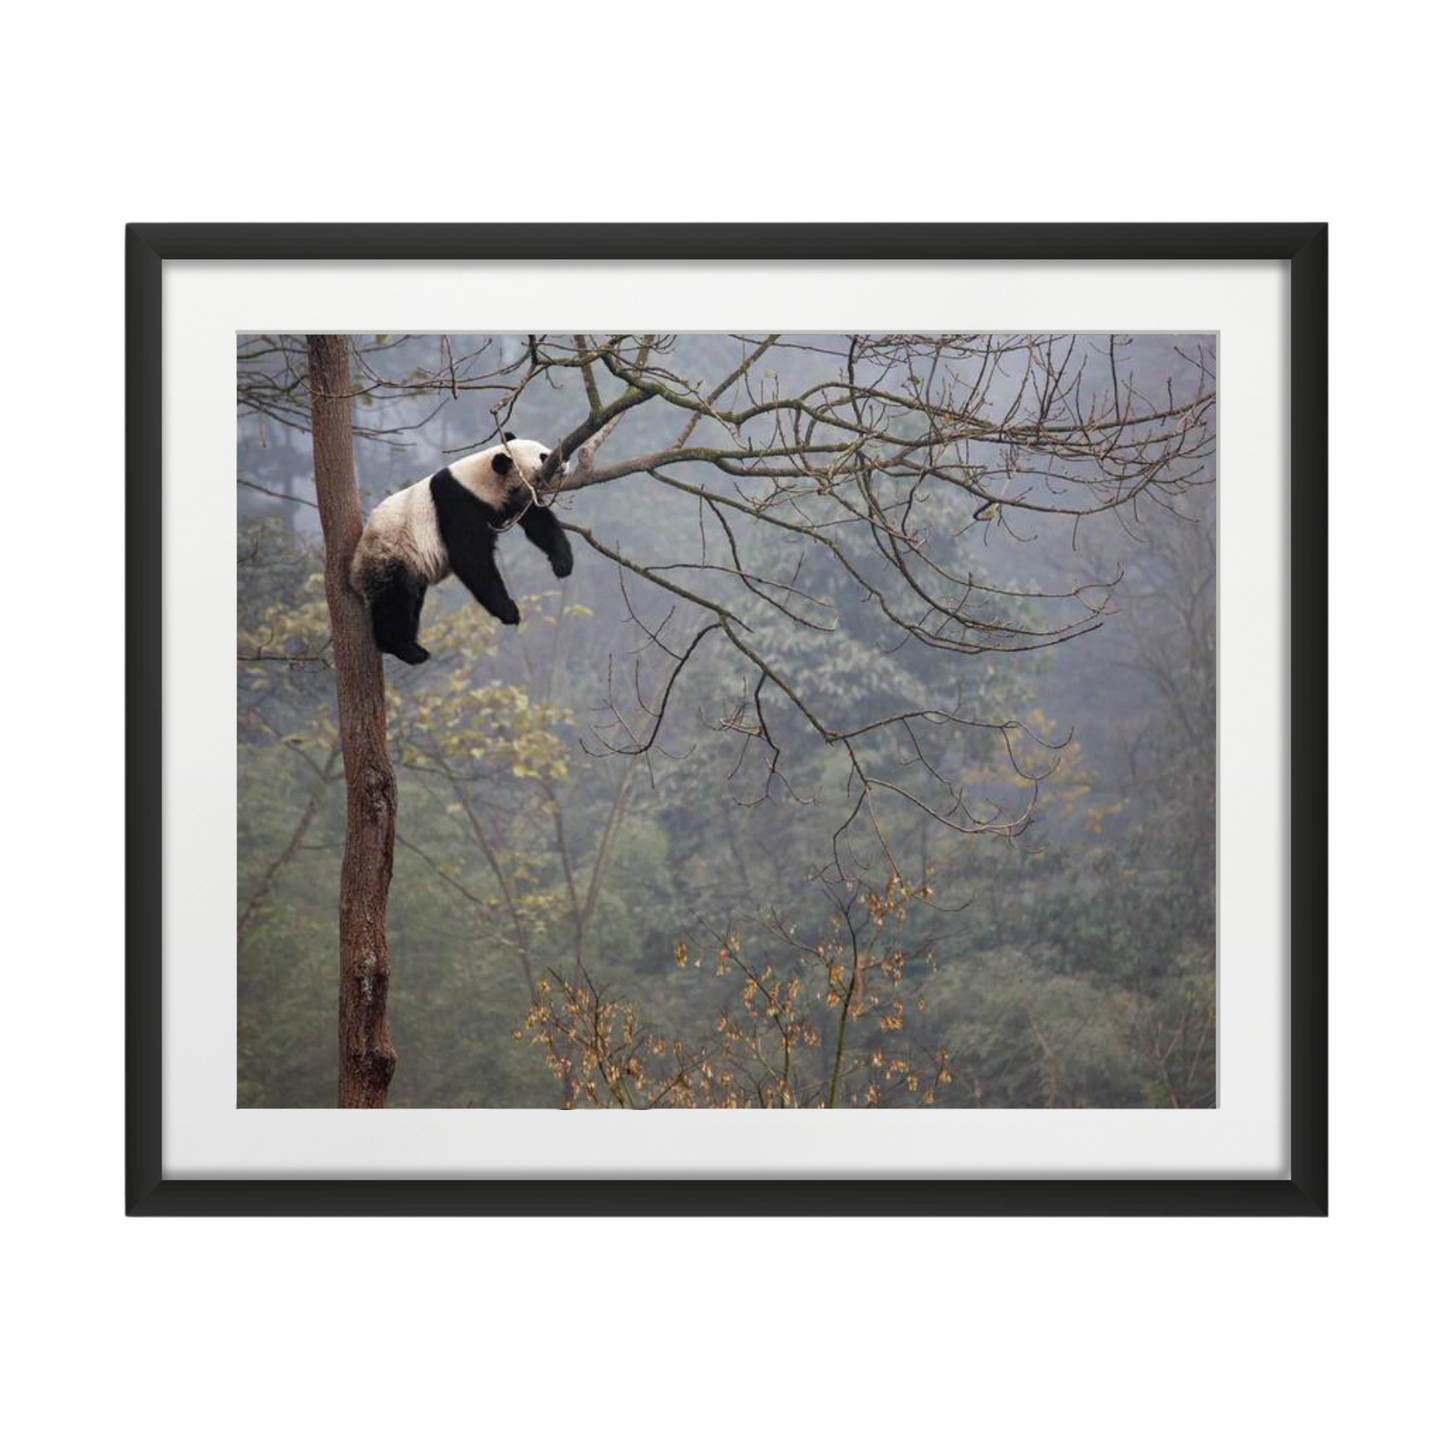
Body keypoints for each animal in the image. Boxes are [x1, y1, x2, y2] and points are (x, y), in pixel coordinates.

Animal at [349, 434, 573, 664]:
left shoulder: (516, 497)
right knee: (394, 601)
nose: (566, 462)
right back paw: (405, 648)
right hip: (390, 553)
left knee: (412, 601)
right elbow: (470, 558)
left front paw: (562, 563)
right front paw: (509, 611)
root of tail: (354, 570)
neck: (480, 480)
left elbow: (538, 521)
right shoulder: (459, 505)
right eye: (544, 456)